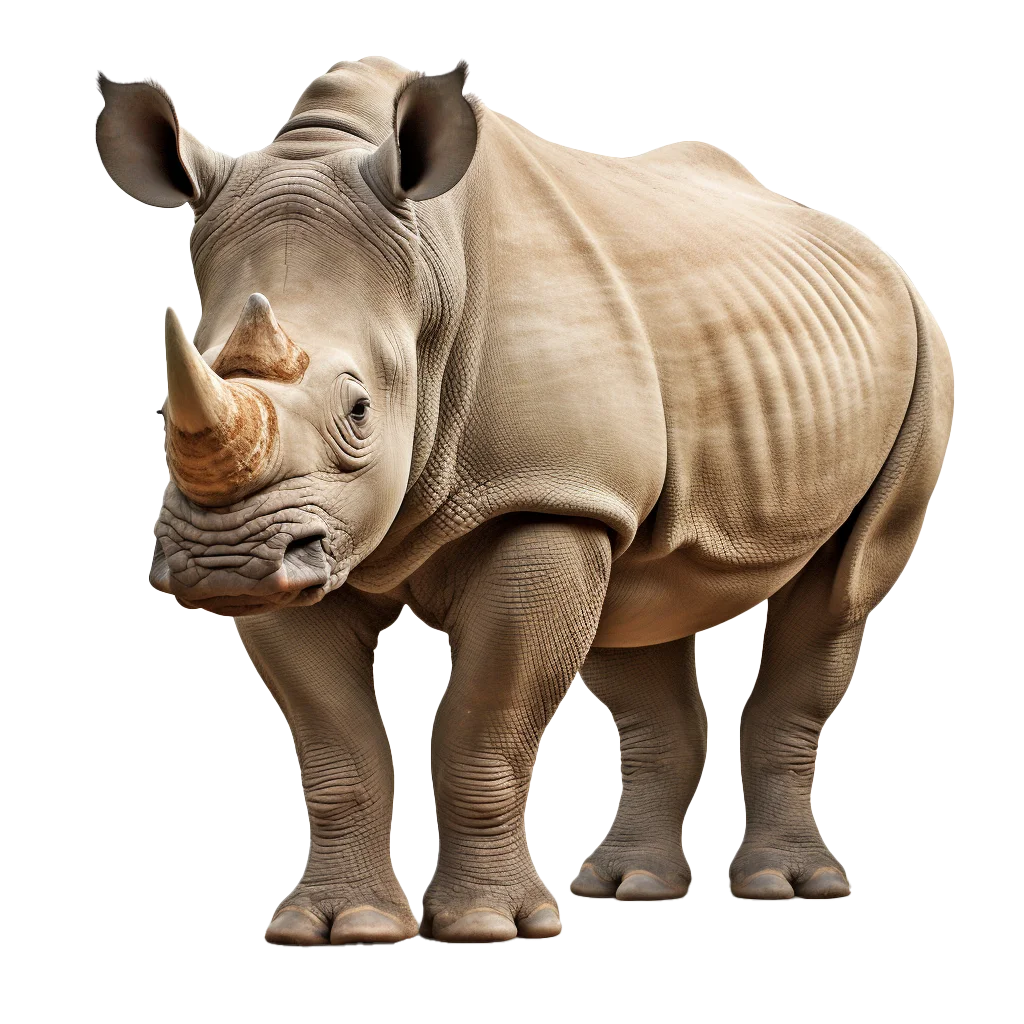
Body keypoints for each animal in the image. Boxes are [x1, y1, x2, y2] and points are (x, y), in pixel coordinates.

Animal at [96, 57, 953, 942]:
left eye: (360, 411)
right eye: (163, 408)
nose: (221, 563)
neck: (425, 280)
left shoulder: (539, 496)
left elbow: (483, 726)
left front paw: (487, 926)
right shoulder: (310, 539)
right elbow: (338, 749)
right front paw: (338, 927)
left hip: (923, 343)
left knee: (839, 590)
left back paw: (790, 887)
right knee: (639, 606)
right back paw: (633, 886)